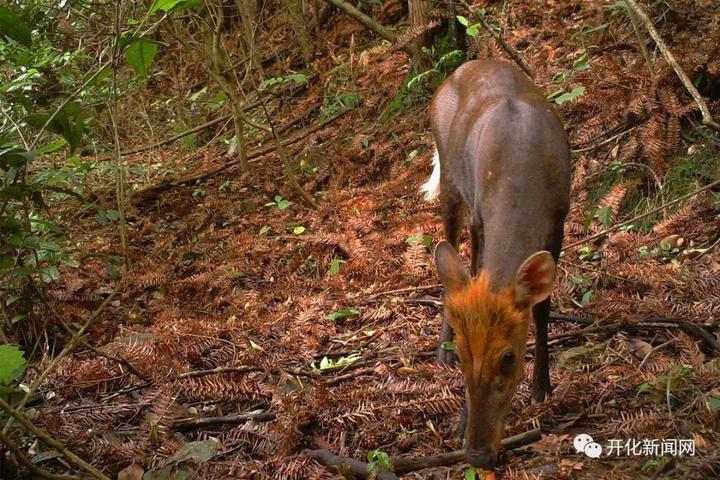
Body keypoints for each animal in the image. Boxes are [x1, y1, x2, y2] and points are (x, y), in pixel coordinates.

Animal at [422, 60, 568, 468]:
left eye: (508, 357)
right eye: (466, 354)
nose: (477, 452)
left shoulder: (559, 220)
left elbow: (542, 308)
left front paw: (541, 386)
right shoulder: (481, 216)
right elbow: (474, 273)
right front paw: (459, 424)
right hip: (452, 182)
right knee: (449, 250)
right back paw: (439, 351)